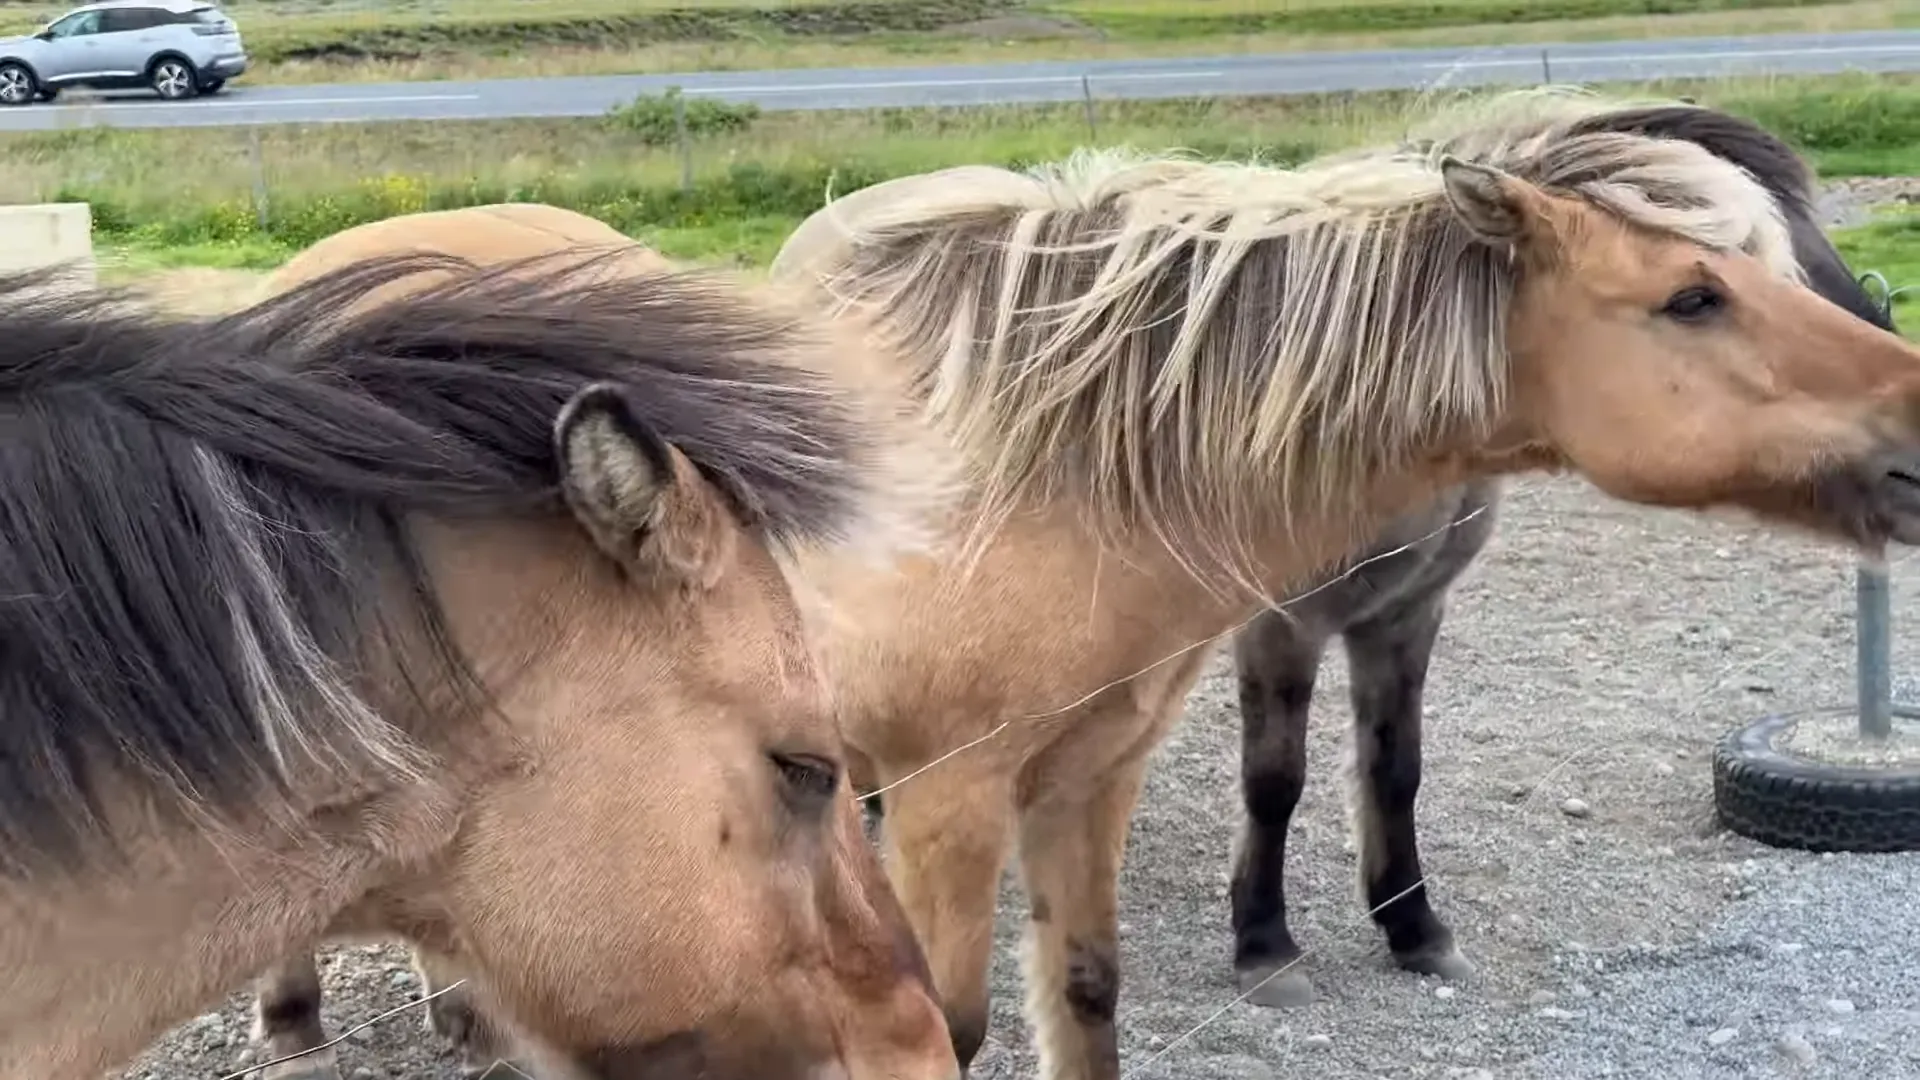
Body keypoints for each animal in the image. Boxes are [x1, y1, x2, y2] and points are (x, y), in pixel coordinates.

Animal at [255, 88, 1920, 1076]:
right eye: (1694, 293)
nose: (1914, 422)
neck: (1045, 471)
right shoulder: (947, 804)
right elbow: (959, 1025)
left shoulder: (1086, 781)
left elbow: (1091, 992)